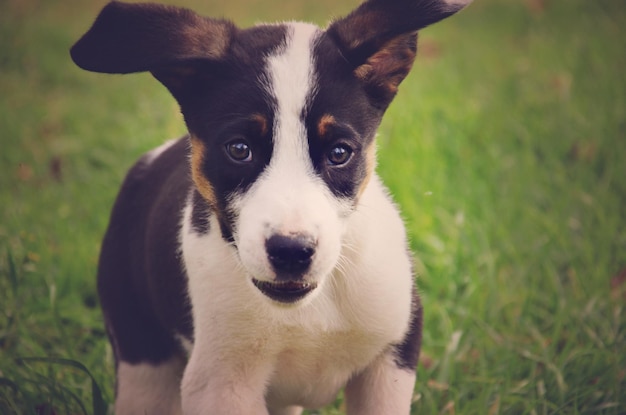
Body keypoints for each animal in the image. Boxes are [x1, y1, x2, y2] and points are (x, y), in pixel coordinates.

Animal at [70, 1, 468, 414]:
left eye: (339, 152)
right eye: (239, 149)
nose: (291, 252)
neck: (310, 307)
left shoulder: (391, 358)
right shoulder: (221, 382)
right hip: (141, 359)